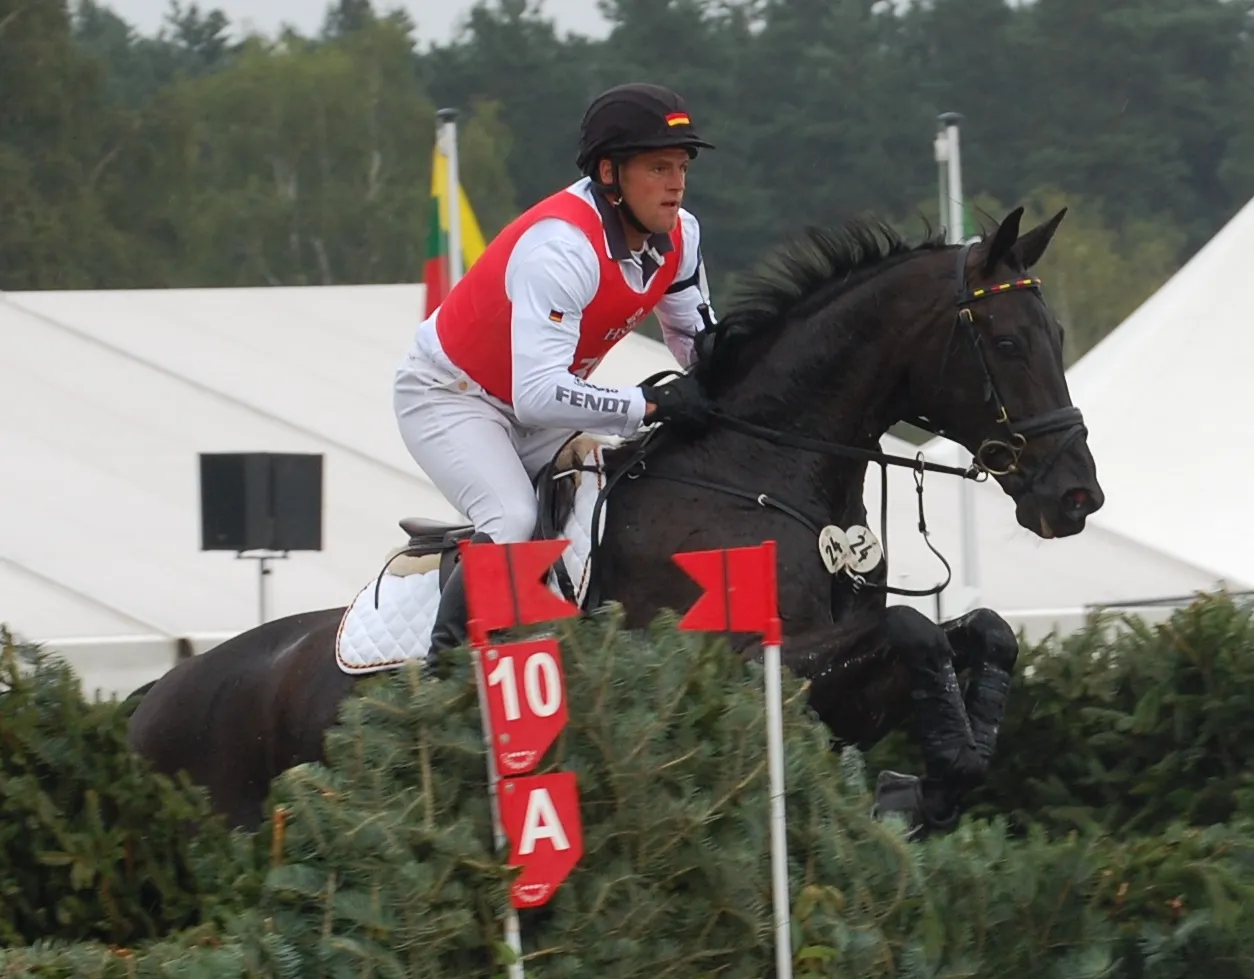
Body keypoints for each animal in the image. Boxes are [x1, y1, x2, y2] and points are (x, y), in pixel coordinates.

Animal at [127, 206, 1103, 832]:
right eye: (1007, 342)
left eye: (1060, 336)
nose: (1076, 496)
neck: (754, 472)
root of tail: (156, 694)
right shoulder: (733, 663)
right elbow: (915, 628)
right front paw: (928, 780)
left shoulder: (838, 692)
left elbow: (980, 630)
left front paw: (938, 773)